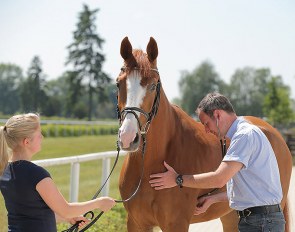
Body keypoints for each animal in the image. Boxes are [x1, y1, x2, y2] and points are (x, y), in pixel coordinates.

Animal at [115, 37, 292, 231]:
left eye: (153, 85)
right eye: (118, 83)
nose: (128, 137)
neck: (149, 165)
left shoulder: (176, 223)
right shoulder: (136, 222)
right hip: (230, 215)